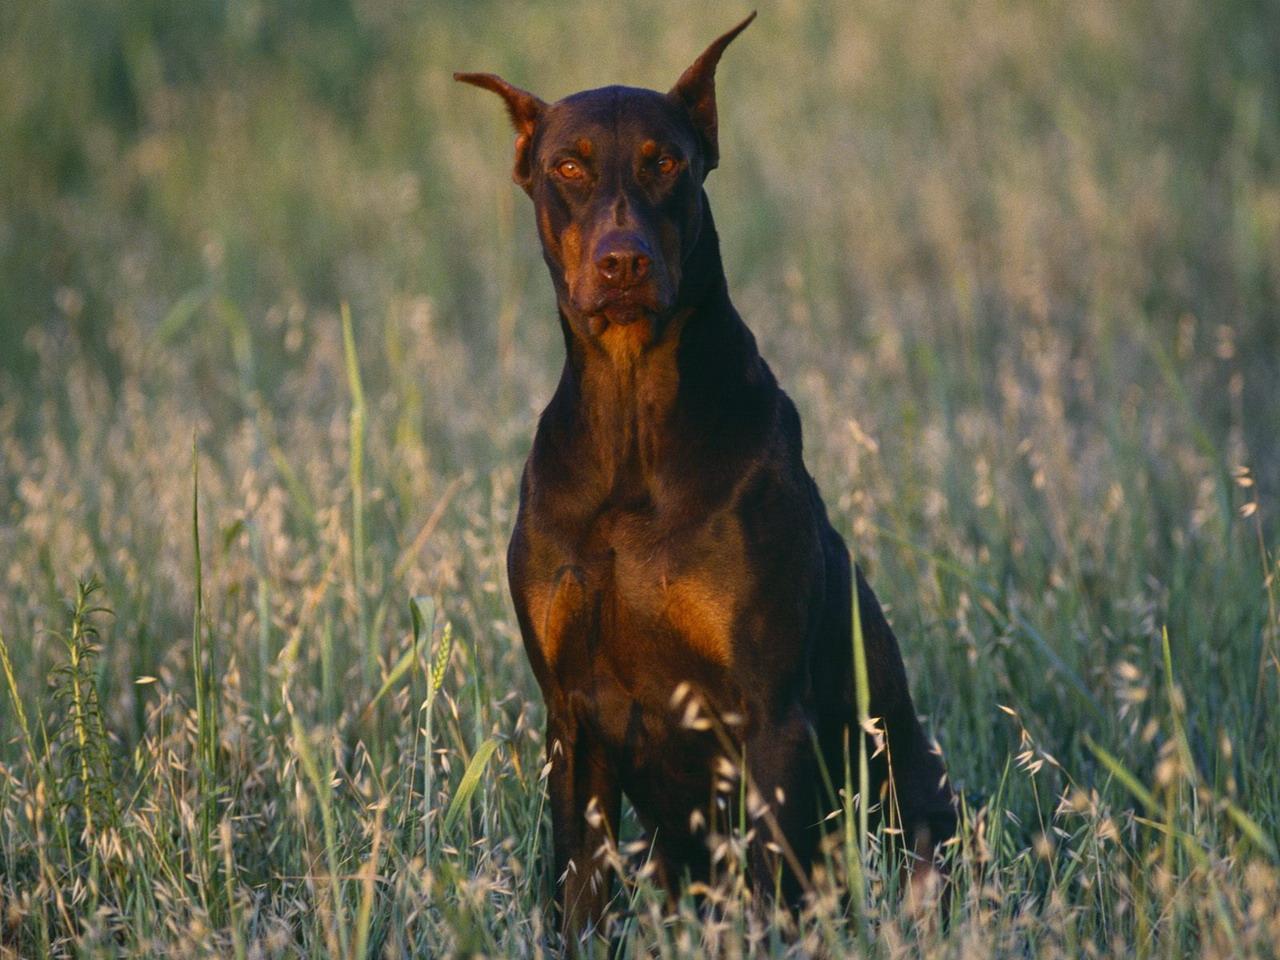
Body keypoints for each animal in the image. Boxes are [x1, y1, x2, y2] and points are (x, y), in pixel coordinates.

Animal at [458, 11, 952, 942]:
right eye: (568, 166)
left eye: (668, 162)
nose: (622, 263)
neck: (631, 435)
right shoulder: (570, 719)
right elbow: (578, 888)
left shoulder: (768, 715)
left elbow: (771, 892)